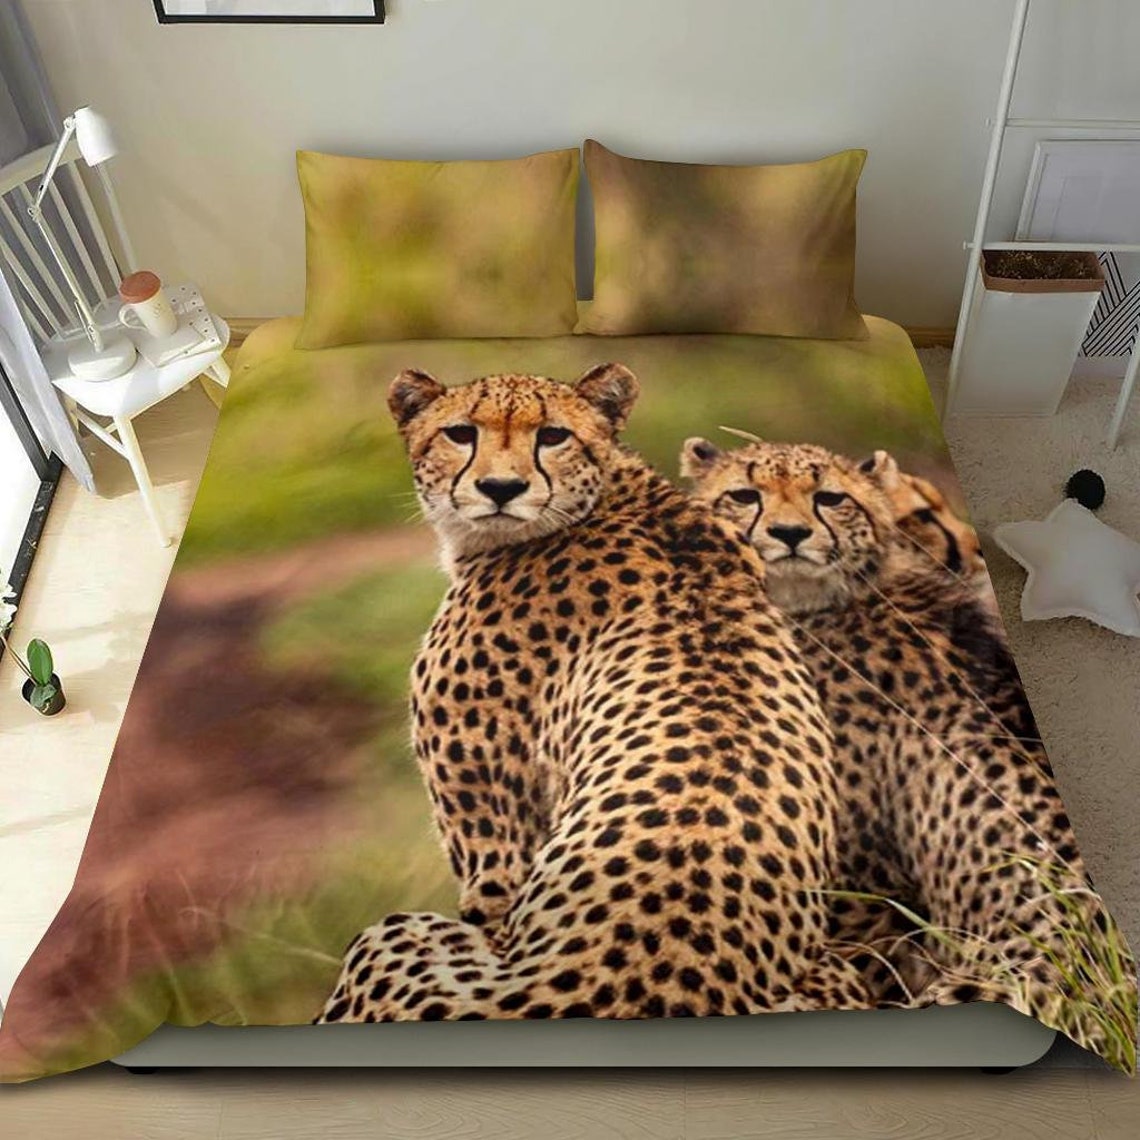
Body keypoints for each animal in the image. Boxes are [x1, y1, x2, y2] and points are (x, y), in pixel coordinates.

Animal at [317, 364, 872, 1026]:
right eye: (460, 432)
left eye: (553, 435)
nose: (501, 488)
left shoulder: (494, 854)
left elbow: (490, 890)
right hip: (839, 975)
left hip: (391, 936)